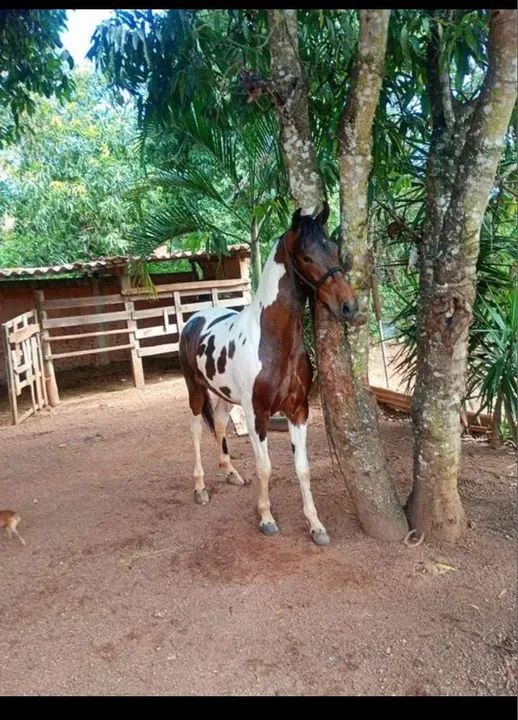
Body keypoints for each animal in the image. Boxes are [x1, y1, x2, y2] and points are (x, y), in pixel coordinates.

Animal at [179, 202, 358, 545]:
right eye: (306, 256)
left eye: (333, 248)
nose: (349, 306)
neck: (273, 341)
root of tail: (194, 319)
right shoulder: (257, 413)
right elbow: (265, 467)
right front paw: (265, 518)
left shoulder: (298, 410)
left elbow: (303, 468)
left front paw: (315, 525)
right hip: (195, 389)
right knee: (194, 430)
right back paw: (199, 488)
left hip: (226, 396)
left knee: (218, 423)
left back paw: (231, 473)